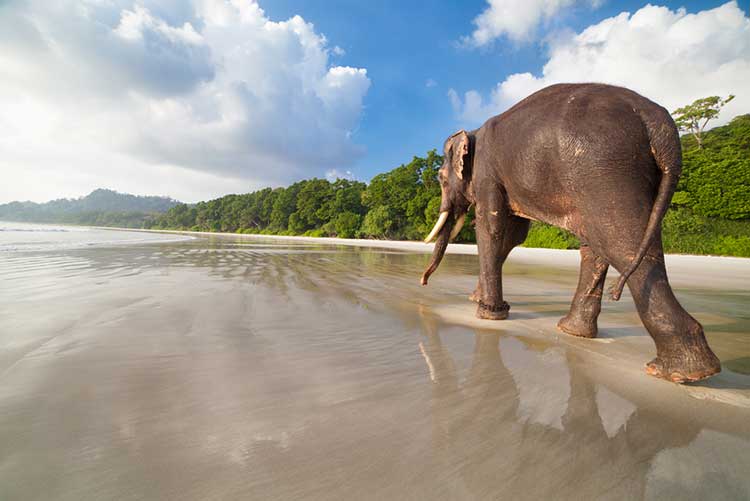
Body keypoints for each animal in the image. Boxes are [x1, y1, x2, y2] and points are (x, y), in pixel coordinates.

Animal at [424, 82, 724, 382]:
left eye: (440, 178)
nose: (423, 282)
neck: (472, 132)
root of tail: (658, 122)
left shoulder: (487, 173)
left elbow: (492, 228)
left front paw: (487, 314)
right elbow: (513, 235)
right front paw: (480, 300)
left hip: (602, 168)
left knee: (620, 243)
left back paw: (682, 372)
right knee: (600, 243)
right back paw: (575, 332)